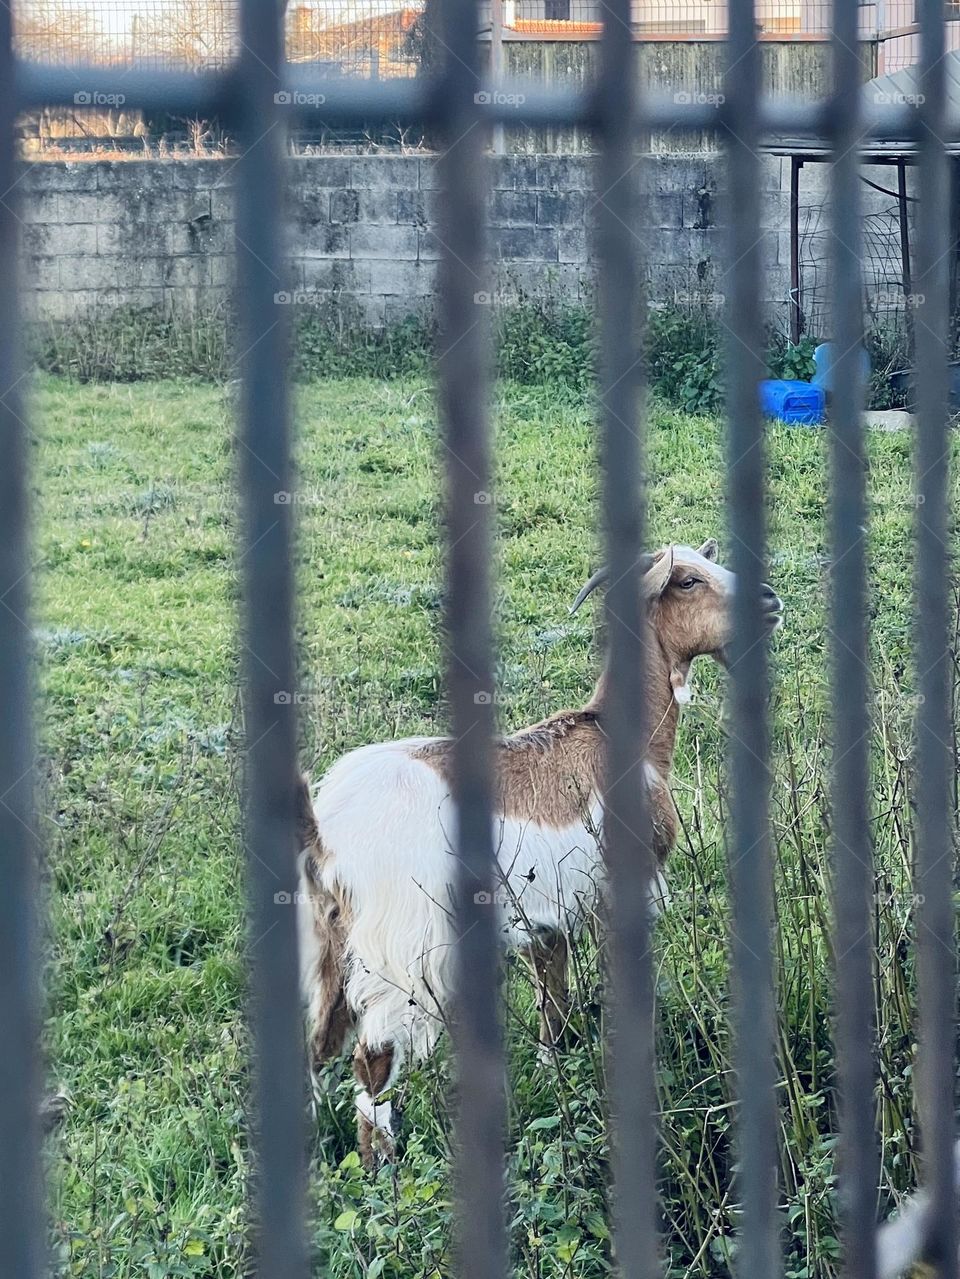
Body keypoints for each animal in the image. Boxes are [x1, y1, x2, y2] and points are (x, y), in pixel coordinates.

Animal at [295, 540, 783, 1166]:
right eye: (688, 581)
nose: (768, 600)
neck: (618, 739)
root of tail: (326, 828)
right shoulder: (616, 893)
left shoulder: (547, 920)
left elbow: (554, 1006)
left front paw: (559, 1081)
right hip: (400, 949)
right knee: (372, 1058)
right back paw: (382, 1170)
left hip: (331, 946)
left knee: (318, 1045)